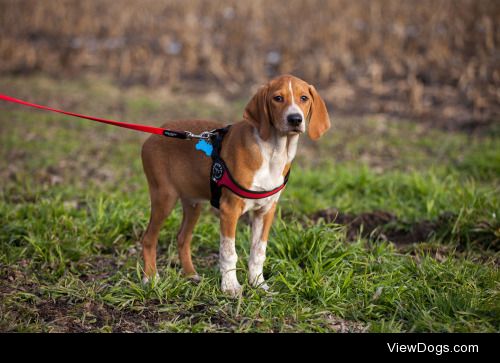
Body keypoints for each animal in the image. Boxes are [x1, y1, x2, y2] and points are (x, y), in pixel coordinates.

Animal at [139, 75, 330, 298]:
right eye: (278, 98)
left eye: (304, 98)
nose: (295, 119)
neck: (273, 151)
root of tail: (153, 135)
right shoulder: (229, 209)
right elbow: (229, 252)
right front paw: (230, 287)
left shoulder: (266, 211)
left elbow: (258, 251)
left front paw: (258, 284)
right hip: (164, 197)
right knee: (148, 238)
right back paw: (150, 279)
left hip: (193, 204)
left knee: (182, 238)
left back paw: (191, 275)